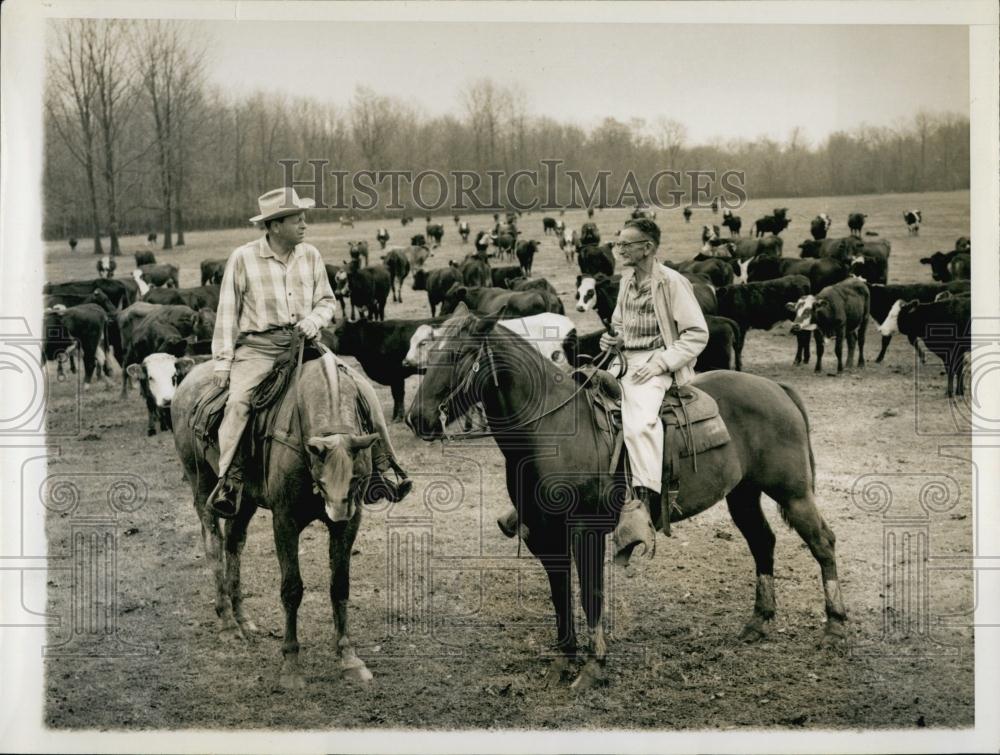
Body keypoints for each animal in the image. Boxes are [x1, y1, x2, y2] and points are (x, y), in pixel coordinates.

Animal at [172, 354, 378, 692]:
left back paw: (242, 619)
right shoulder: (285, 520)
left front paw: (349, 658)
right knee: (214, 546)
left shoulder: (350, 523)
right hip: (200, 485)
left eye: (357, 477)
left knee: (234, 546)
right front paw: (291, 664)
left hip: (244, 502)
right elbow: (291, 589)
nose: (337, 512)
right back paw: (228, 624)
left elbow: (340, 585)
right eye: (321, 477)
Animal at [402, 314, 848, 692]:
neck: (553, 429)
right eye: (430, 349)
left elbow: (590, 595)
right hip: (742, 494)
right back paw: (758, 622)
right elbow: (560, 596)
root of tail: (776, 389)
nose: (417, 417)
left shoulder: (586, 530)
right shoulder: (544, 535)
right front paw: (564, 661)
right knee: (762, 543)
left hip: (793, 493)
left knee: (822, 543)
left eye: (460, 354)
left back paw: (835, 627)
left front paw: (593, 667)